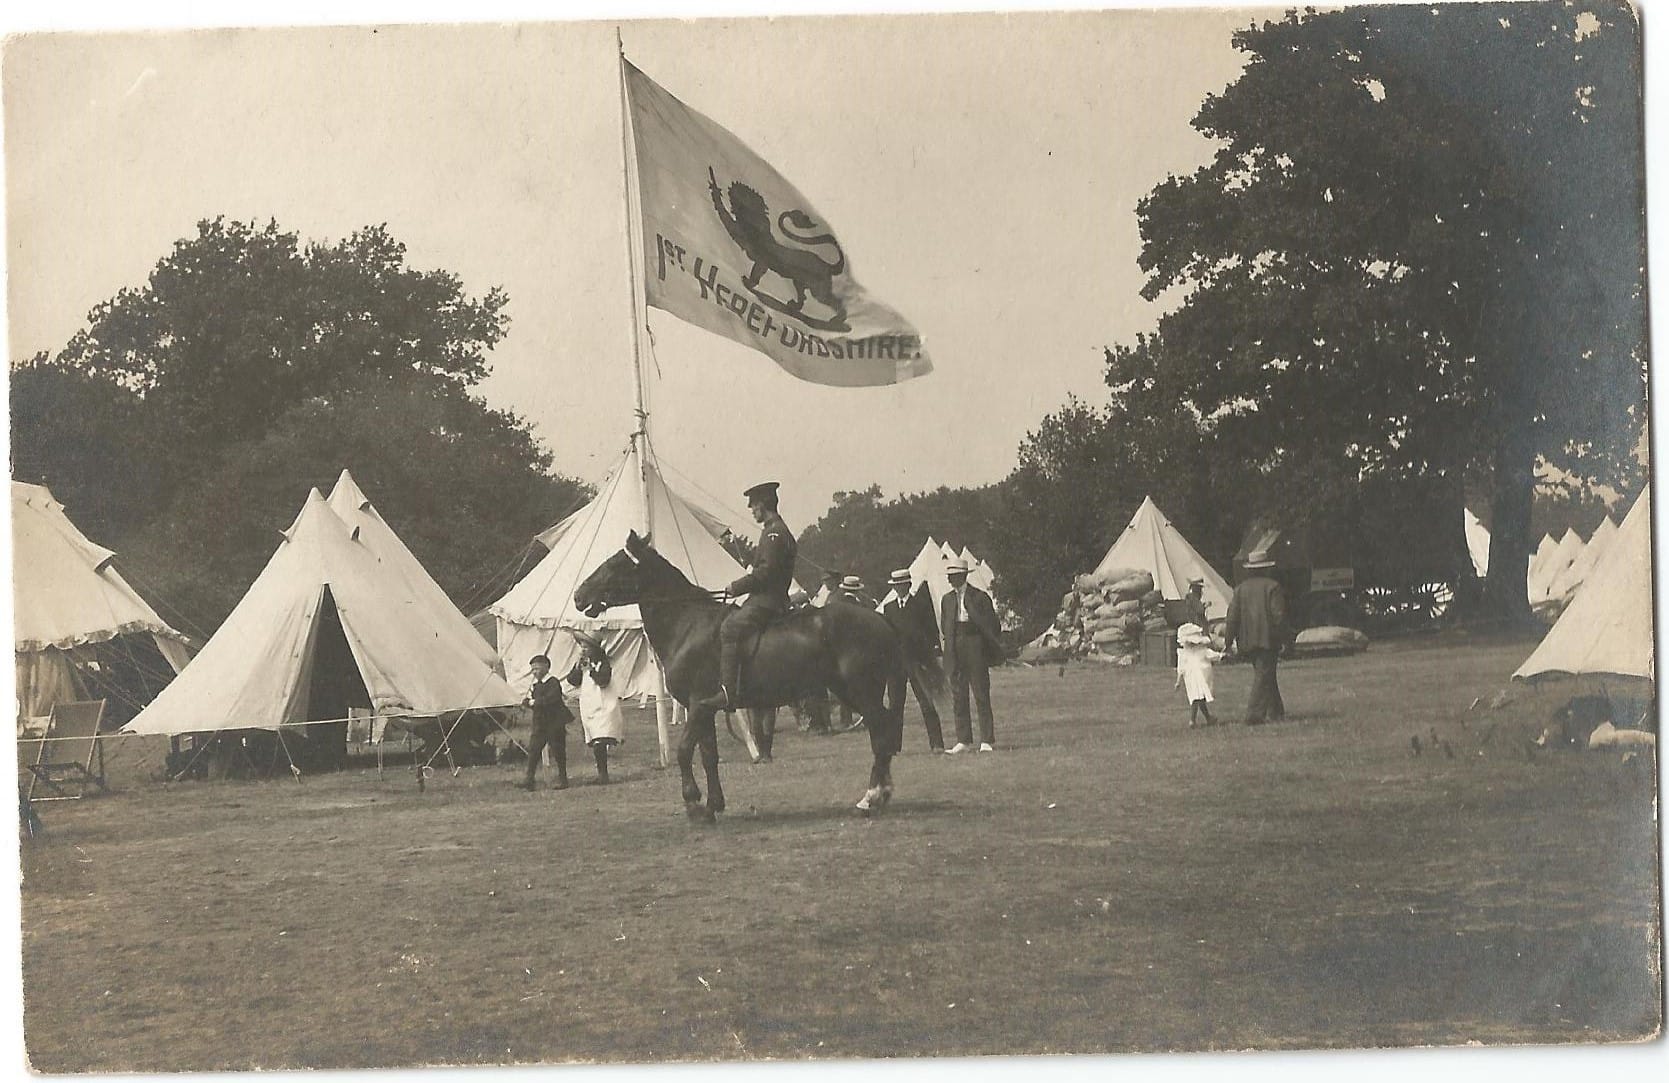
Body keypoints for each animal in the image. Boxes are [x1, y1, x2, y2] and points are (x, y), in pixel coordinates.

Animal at [577, 530, 914, 821]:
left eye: (614, 564)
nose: (579, 596)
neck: (687, 623)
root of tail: (879, 619)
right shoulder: (702, 709)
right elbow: (708, 755)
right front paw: (713, 805)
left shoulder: (698, 703)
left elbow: (685, 751)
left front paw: (693, 804)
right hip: (850, 692)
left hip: (862, 691)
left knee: (881, 735)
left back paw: (872, 798)